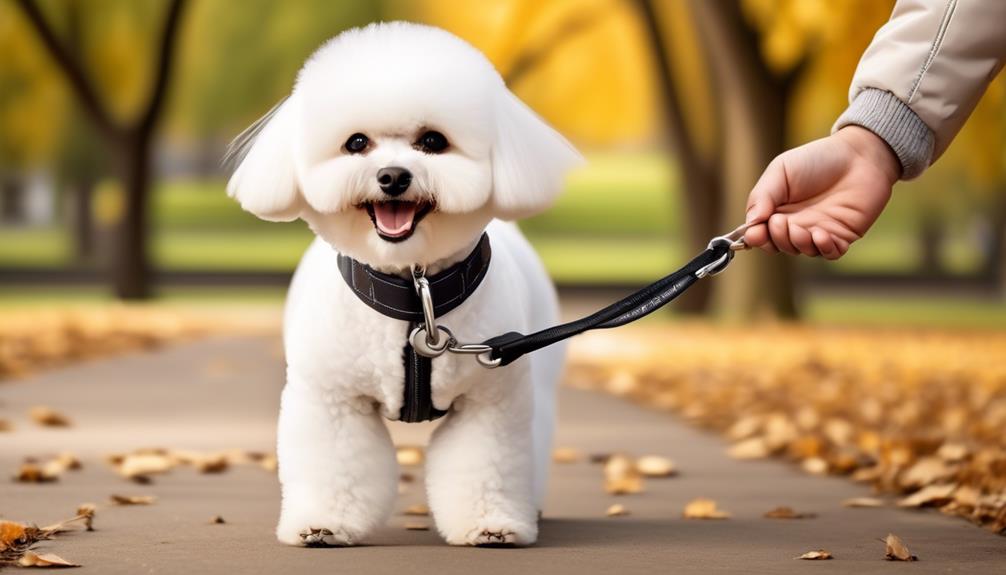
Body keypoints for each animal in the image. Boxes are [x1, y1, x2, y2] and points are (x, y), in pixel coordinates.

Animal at [224, 20, 579, 546]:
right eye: (356, 143)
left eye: (432, 141)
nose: (393, 176)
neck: (415, 294)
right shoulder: (334, 400)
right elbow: (334, 464)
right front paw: (323, 522)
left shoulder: (489, 403)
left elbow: (485, 464)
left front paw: (489, 523)